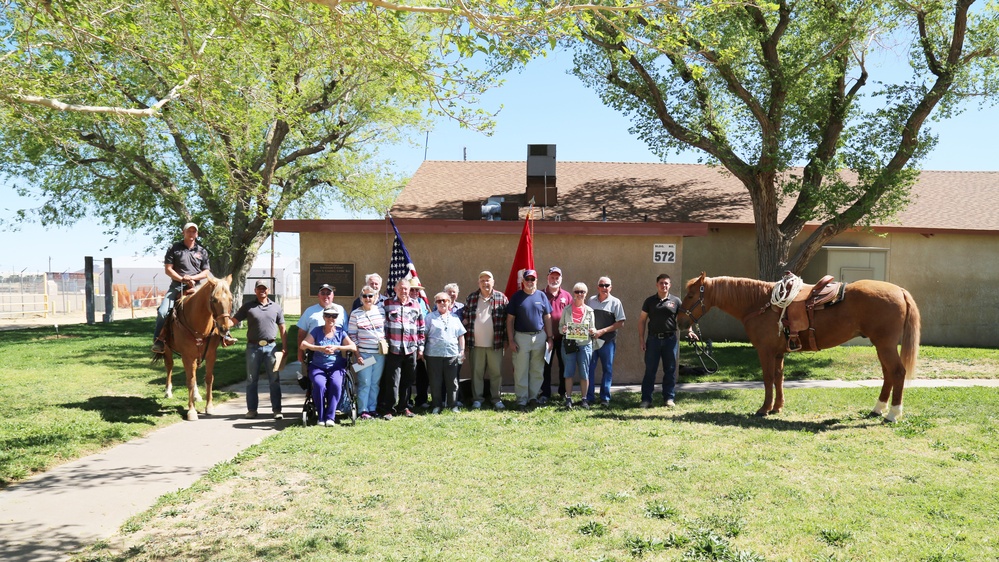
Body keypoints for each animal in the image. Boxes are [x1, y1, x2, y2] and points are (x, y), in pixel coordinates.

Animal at [159, 274, 235, 418]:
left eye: (231, 299)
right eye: (214, 300)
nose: (224, 328)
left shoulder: (211, 354)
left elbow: (209, 378)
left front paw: (209, 407)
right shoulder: (187, 356)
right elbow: (190, 380)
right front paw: (191, 411)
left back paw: (196, 395)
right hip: (167, 349)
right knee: (169, 366)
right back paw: (168, 392)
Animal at [680, 272, 920, 420]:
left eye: (691, 294)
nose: (680, 321)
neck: (759, 303)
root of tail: (900, 290)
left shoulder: (765, 351)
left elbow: (768, 378)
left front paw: (764, 409)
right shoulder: (778, 353)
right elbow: (779, 378)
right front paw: (777, 407)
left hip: (885, 345)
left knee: (897, 373)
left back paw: (892, 414)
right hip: (881, 346)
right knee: (888, 375)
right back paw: (878, 409)